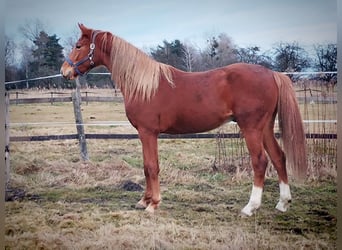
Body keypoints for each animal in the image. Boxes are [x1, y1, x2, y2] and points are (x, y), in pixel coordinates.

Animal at [60, 24, 308, 216]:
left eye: (78, 46)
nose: (64, 71)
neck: (143, 85)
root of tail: (272, 74)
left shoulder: (148, 132)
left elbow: (152, 167)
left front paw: (153, 204)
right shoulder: (144, 134)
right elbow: (146, 166)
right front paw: (144, 200)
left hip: (251, 128)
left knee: (260, 162)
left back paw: (250, 207)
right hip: (265, 127)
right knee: (279, 157)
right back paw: (283, 203)